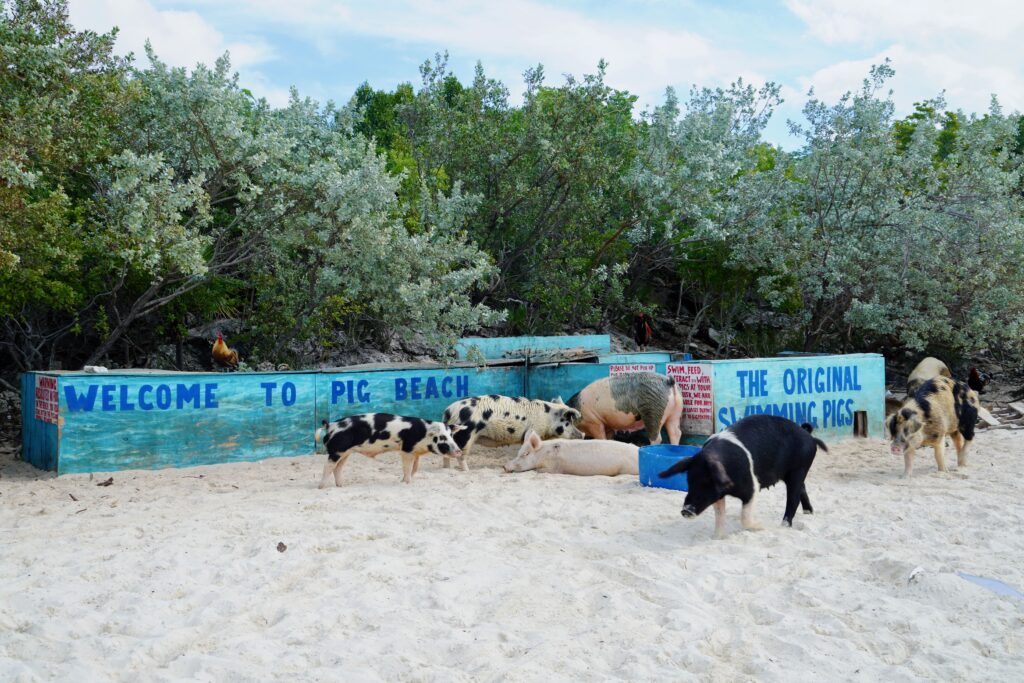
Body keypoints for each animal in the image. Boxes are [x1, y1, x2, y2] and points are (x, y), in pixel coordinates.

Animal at [316, 413, 466, 487]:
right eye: (442, 437)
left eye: (451, 435)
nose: (459, 451)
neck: (422, 435)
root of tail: (330, 426)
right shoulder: (406, 450)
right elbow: (407, 468)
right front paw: (406, 483)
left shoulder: (415, 453)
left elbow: (415, 468)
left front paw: (406, 481)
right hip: (337, 451)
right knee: (327, 466)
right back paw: (321, 487)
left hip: (346, 453)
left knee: (338, 468)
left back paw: (342, 486)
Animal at [442, 395, 584, 469]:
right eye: (568, 421)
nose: (582, 435)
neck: (548, 418)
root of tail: (449, 411)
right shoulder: (534, 429)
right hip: (466, 435)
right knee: (460, 456)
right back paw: (467, 471)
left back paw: (447, 469)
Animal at [503, 429, 640, 476]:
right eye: (518, 452)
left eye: (525, 454)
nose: (504, 466)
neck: (543, 455)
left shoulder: (555, 467)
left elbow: (538, 470)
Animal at [658, 414, 827, 539]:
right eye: (689, 481)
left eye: (707, 482)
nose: (686, 510)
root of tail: (809, 436)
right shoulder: (718, 495)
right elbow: (720, 514)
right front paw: (717, 537)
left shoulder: (752, 488)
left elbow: (744, 517)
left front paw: (761, 526)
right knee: (802, 490)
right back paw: (808, 512)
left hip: (799, 469)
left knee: (793, 498)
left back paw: (783, 526)